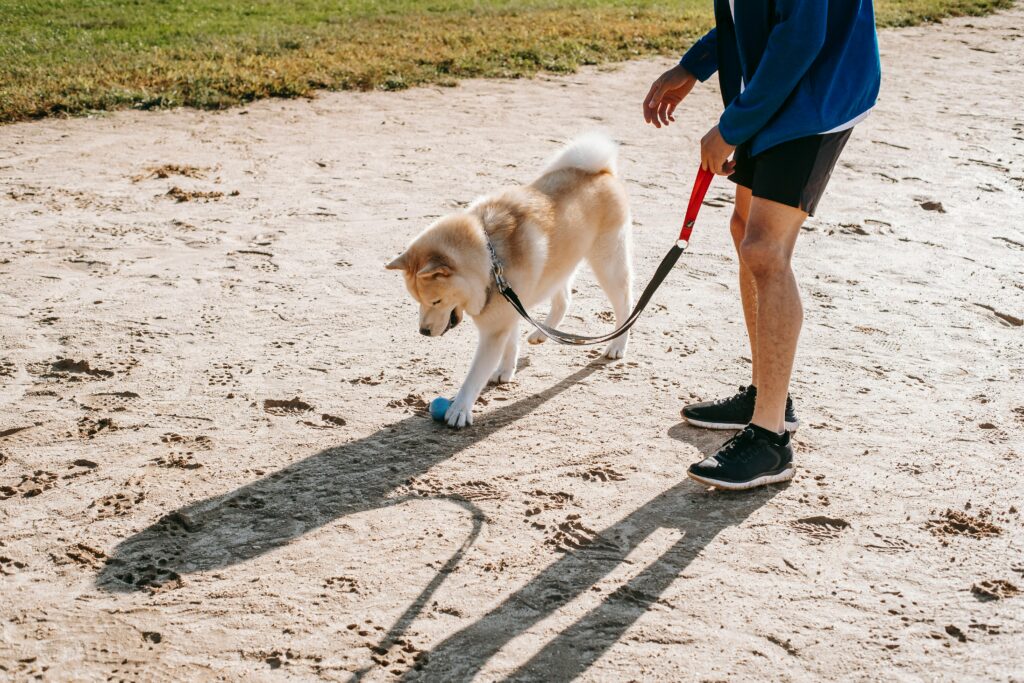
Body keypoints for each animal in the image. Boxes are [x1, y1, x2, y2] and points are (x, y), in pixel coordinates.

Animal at [385, 135, 630, 428]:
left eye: (436, 300)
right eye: (417, 301)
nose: (423, 332)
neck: (491, 259)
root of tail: (601, 171)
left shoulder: (495, 328)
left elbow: (475, 374)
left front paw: (460, 408)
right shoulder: (511, 306)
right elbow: (511, 343)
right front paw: (505, 370)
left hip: (608, 265)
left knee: (625, 305)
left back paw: (617, 345)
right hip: (559, 267)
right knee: (564, 299)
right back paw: (541, 332)